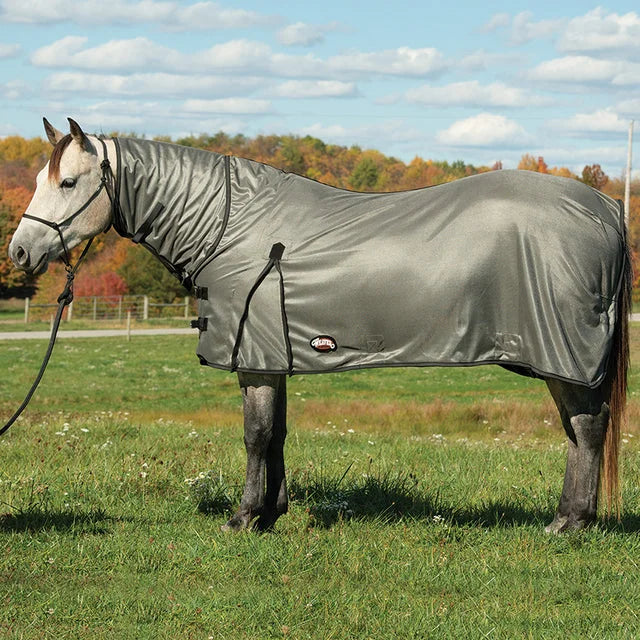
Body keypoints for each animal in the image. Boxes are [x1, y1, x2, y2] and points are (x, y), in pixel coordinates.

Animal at [8, 118, 631, 534]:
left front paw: (243, 517)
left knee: (588, 428)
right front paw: (270, 513)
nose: (18, 252)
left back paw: (569, 523)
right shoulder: (269, 356)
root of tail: (605, 208)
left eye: (68, 183)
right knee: (578, 430)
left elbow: (256, 435)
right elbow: (277, 432)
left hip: (565, 356)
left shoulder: (255, 357)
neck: (230, 224)